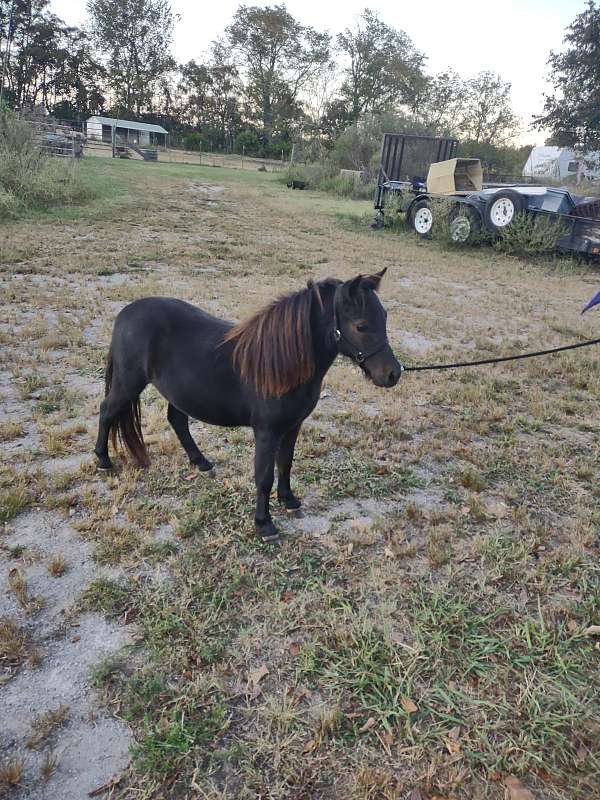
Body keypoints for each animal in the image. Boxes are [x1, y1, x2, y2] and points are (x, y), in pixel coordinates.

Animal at [95, 272, 404, 540]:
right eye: (361, 325)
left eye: (385, 317)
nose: (393, 374)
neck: (281, 363)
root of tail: (126, 313)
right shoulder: (267, 431)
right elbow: (263, 476)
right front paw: (264, 524)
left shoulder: (292, 426)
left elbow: (286, 463)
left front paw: (288, 499)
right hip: (128, 384)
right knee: (107, 411)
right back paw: (102, 460)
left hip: (177, 392)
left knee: (177, 421)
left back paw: (200, 461)